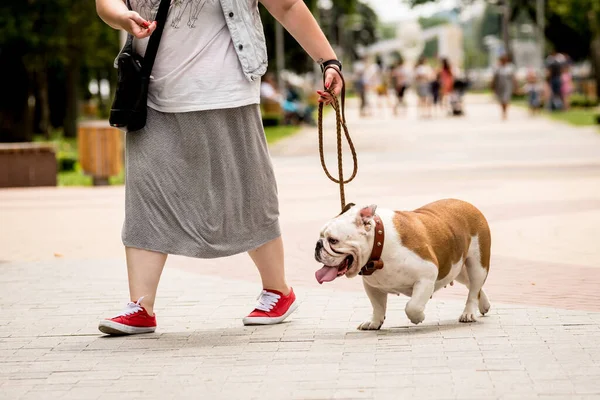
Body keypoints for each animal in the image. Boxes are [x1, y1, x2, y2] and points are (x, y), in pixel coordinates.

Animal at [314, 198, 492, 330]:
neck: (379, 243)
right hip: (456, 267)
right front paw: (375, 322)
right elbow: (377, 305)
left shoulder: (427, 275)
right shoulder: (372, 286)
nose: (318, 245)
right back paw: (483, 305)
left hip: (477, 264)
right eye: (320, 236)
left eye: (333, 240)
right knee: (472, 286)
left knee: (474, 288)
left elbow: (412, 306)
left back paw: (468, 313)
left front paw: (418, 317)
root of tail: (467, 204)